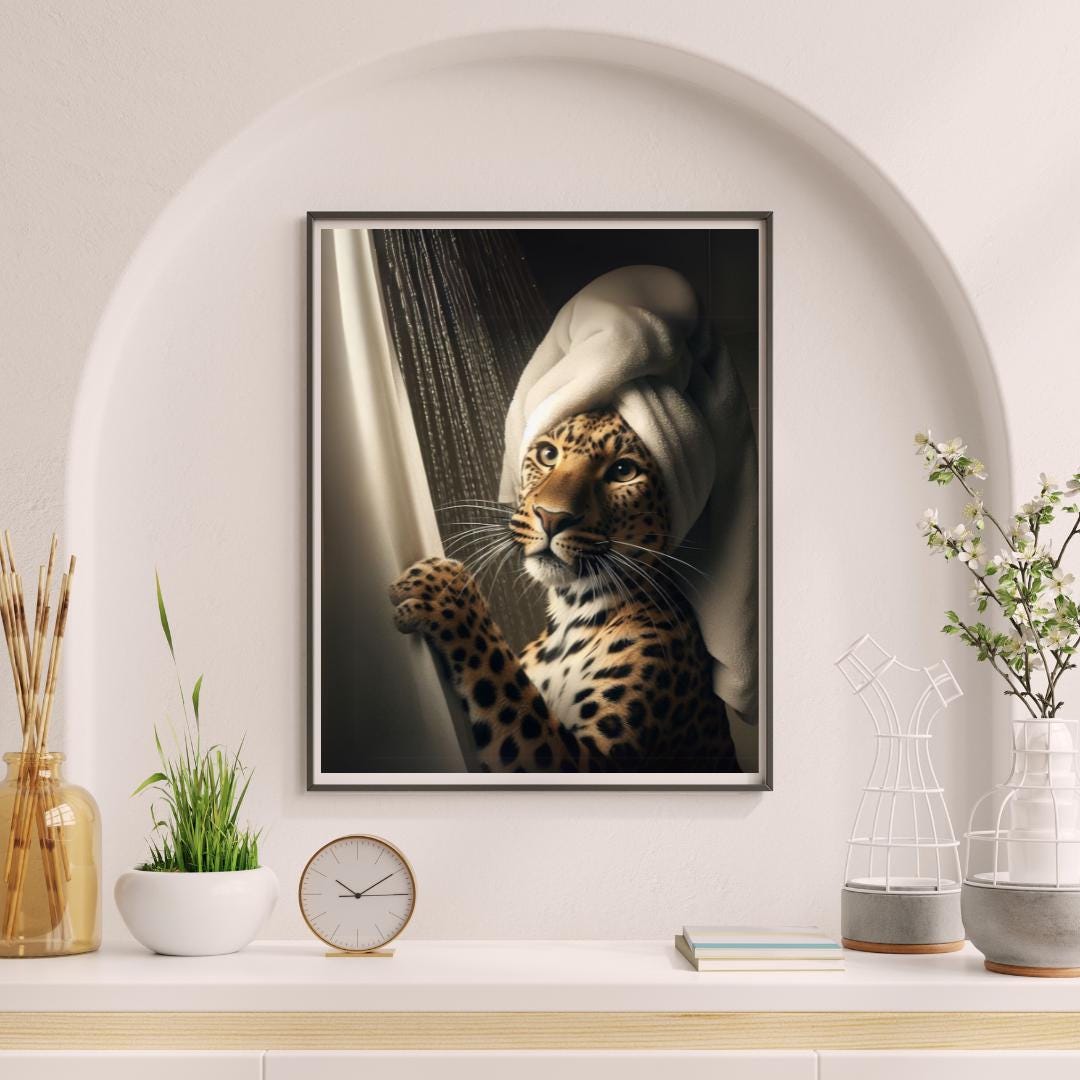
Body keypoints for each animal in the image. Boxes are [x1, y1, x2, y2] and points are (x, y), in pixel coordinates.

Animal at [387, 408, 738, 774]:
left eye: (623, 471)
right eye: (547, 454)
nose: (551, 517)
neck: (571, 611)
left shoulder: (597, 762)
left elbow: (505, 676)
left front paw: (445, 589)